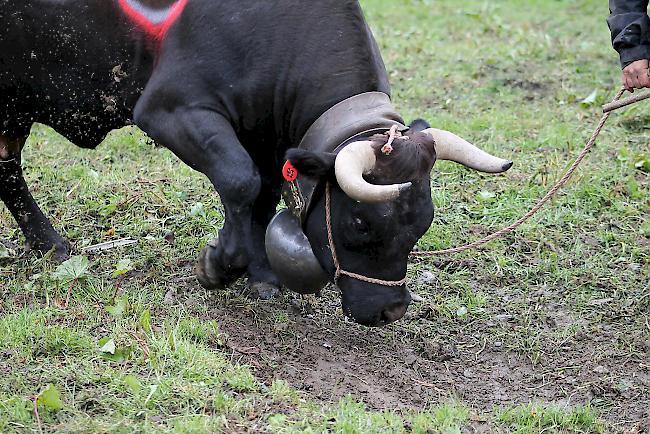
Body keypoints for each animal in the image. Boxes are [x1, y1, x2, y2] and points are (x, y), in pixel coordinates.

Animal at [1, 0, 512, 326]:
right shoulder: (171, 111)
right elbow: (240, 181)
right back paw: (53, 244)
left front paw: (262, 275)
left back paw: (47, 244)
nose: (392, 311)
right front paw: (219, 265)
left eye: (422, 224)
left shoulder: (267, 136)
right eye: (361, 222)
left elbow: (264, 196)